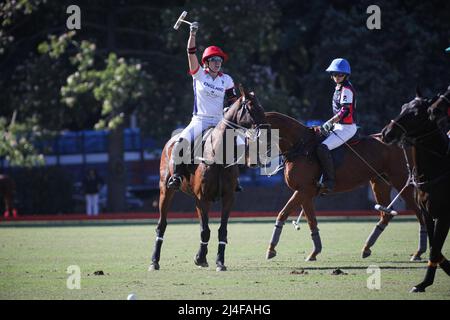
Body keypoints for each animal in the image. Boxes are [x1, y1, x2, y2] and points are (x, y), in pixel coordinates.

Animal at [149, 91, 256, 272]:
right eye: (249, 108)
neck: (218, 153)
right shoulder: (202, 198)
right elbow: (205, 230)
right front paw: (200, 258)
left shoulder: (229, 197)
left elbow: (222, 230)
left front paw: (219, 262)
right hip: (166, 189)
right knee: (161, 224)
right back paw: (154, 261)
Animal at [241, 99, 428, 262]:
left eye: (257, 136)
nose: (250, 162)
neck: (299, 146)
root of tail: (404, 143)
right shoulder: (306, 193)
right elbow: (311, 221)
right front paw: (314, 253)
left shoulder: (304, 190)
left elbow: (283, 213)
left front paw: (271, 250)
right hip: (379, 182)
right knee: (386, 214)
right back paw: (366, 248)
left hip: (401, 181)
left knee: (420, 212)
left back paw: (418, 252)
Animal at [382, 90, 450, 292]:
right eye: (403, 107)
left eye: (416, 114)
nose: (386, 133)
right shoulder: (427, 213)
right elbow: (435, 247)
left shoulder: (444, 215)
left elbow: (435, 249)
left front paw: (424, 282)